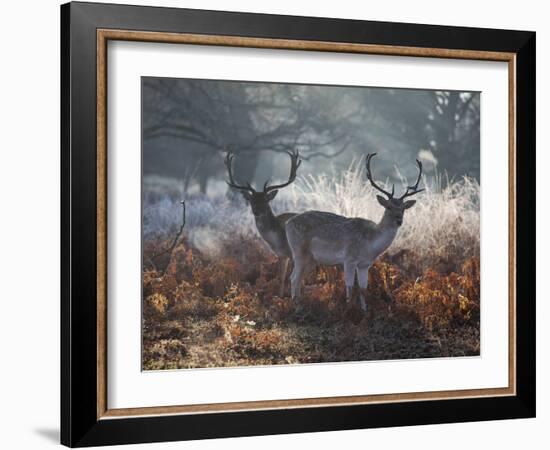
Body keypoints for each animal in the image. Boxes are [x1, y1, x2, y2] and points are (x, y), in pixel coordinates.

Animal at [224, 149, 302, 298]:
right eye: (251, 200)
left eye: (265, 200)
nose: (257, 211)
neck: (278, 239)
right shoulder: (282, 255)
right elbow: (281, 277)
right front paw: (280, 297)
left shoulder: (293, 253)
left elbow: (295, 278)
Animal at [286, 153, 424, 312]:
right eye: (388, 206)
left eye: (403, 208)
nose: (399, 220)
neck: (370, 245)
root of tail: (287, 223)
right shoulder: (349, 259)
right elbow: (350, 286)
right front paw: (347, 309)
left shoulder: (365, 264)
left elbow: (363, 288)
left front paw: (364, 311)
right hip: (298, 251)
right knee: (294, 278)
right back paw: (296, 306)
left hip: (311, 259)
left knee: (298, 278)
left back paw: (300, 303)